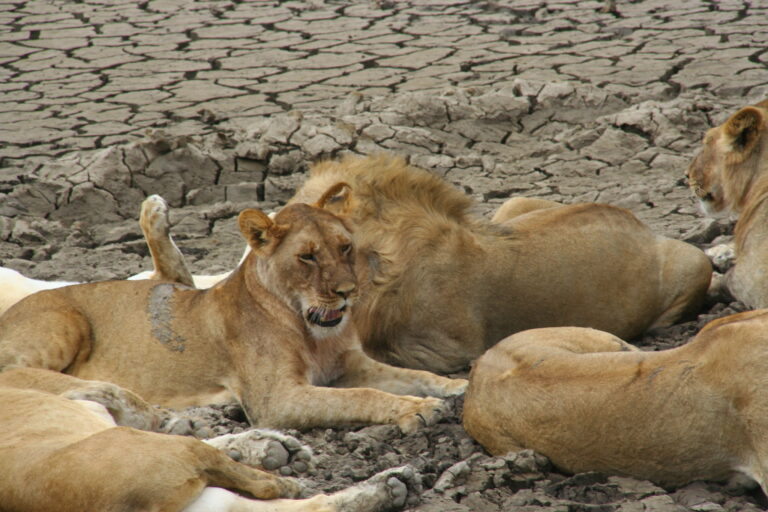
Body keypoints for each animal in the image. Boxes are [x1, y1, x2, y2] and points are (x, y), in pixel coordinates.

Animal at [0, 185, 466, 432]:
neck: (311, 330)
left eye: (345, 247)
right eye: (307, 257)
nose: (349, 292)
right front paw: (414, 410)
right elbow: (363, 397)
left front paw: (454, 387)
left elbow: (411, 375)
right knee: (18, 374)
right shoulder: (276, 402)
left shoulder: (351, 364)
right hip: (66, 320)